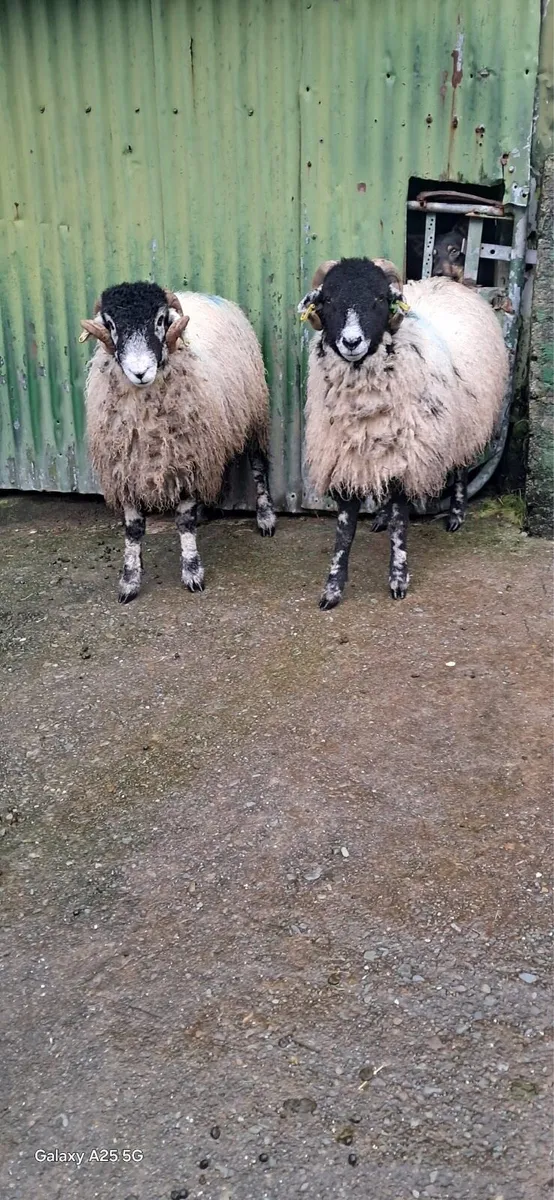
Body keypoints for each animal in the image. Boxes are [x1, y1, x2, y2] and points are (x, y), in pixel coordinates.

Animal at [81, 281, 276, 603]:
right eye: (111, 325)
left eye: (160, 320)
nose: (140, 372)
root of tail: (202, 294)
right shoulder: (125, 467)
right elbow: (133, 529)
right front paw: (129, 579)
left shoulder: (186, 458)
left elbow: (184, 522)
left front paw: (192, 572)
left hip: (253, 413)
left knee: (258, 466)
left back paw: (265, 517)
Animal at [298, 257, 508, 609]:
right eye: (328, 300)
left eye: (380, 298)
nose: (351, 342)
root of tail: (448, 282)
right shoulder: (346, 458)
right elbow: (344, 530)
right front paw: (332, 588)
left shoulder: (407, 456)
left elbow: (400, 524)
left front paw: (398, 579)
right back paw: (380, 518)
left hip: (466, 421)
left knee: (461, 467)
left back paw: (456, 515)